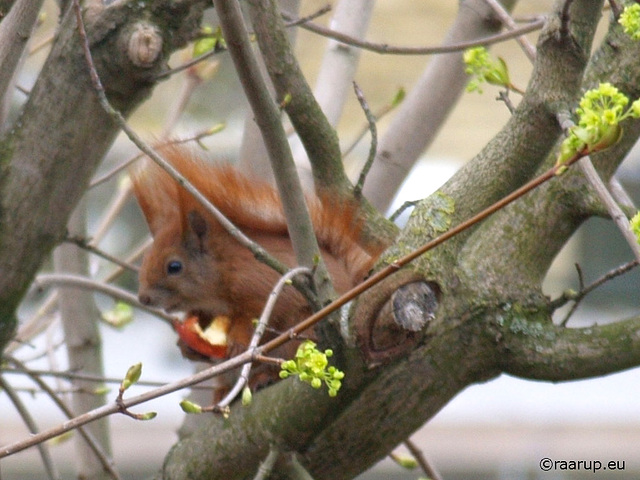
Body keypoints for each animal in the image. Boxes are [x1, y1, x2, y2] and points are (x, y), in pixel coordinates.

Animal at [130, 146, 380, 390]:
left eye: (174, 266)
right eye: (146, 257)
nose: (144, 298)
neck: (222, 269)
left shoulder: (258, 282)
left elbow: (259, 315)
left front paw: (239, 343)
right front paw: (186, 345)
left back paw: (264, 377)